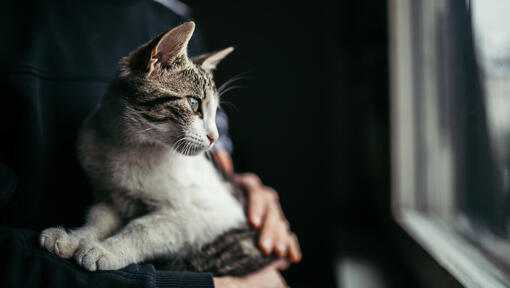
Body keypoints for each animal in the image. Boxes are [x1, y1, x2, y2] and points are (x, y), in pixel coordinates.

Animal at [39, 21, 274, 276]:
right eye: (194, 104)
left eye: (215, 112)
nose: (215, 137)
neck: (130, 147)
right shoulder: (109, 195)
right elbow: (98, 218)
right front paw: (73, 238)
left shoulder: (210, 213)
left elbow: (145, 228)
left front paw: (106, 251)